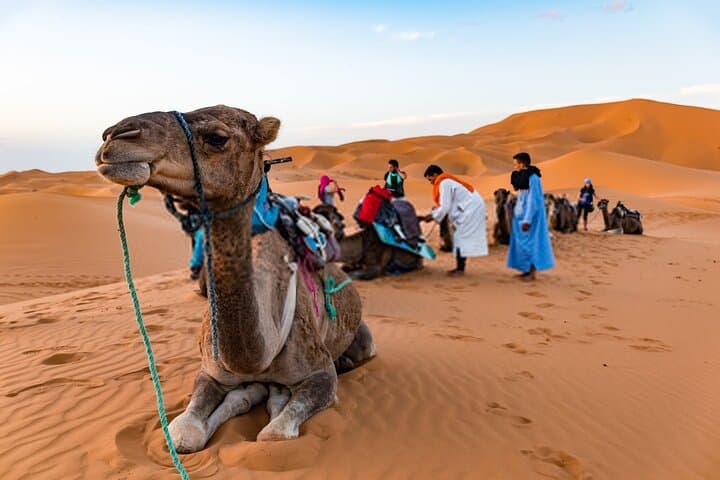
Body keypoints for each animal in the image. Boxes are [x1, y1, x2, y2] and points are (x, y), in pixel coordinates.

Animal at [95, 105, 376, 453]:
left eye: (217, 138)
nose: (114, 136)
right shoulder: (210, 372)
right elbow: (183, 433)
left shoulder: (320, 371)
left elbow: (274, 433)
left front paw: (276, 400)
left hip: (363, 338)